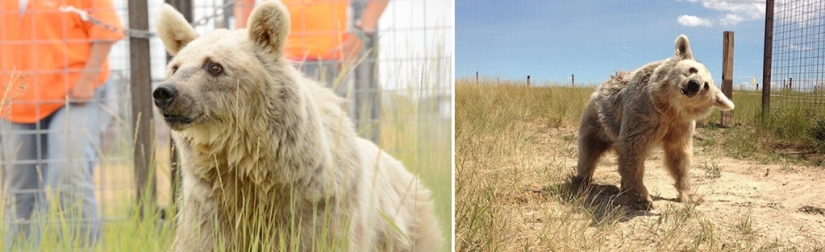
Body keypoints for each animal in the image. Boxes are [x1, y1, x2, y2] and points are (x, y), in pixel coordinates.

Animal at [572, 34, 732, 211]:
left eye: (706, 86)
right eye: (692, 69)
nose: (694, 84)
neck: (669, 107)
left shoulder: (680, 125)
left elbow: (679, 156)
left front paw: (688, 195)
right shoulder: (643, 113)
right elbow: (632, 148)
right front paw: (643, 199)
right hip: (598, 120)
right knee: (588, 152)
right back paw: (582, 180)